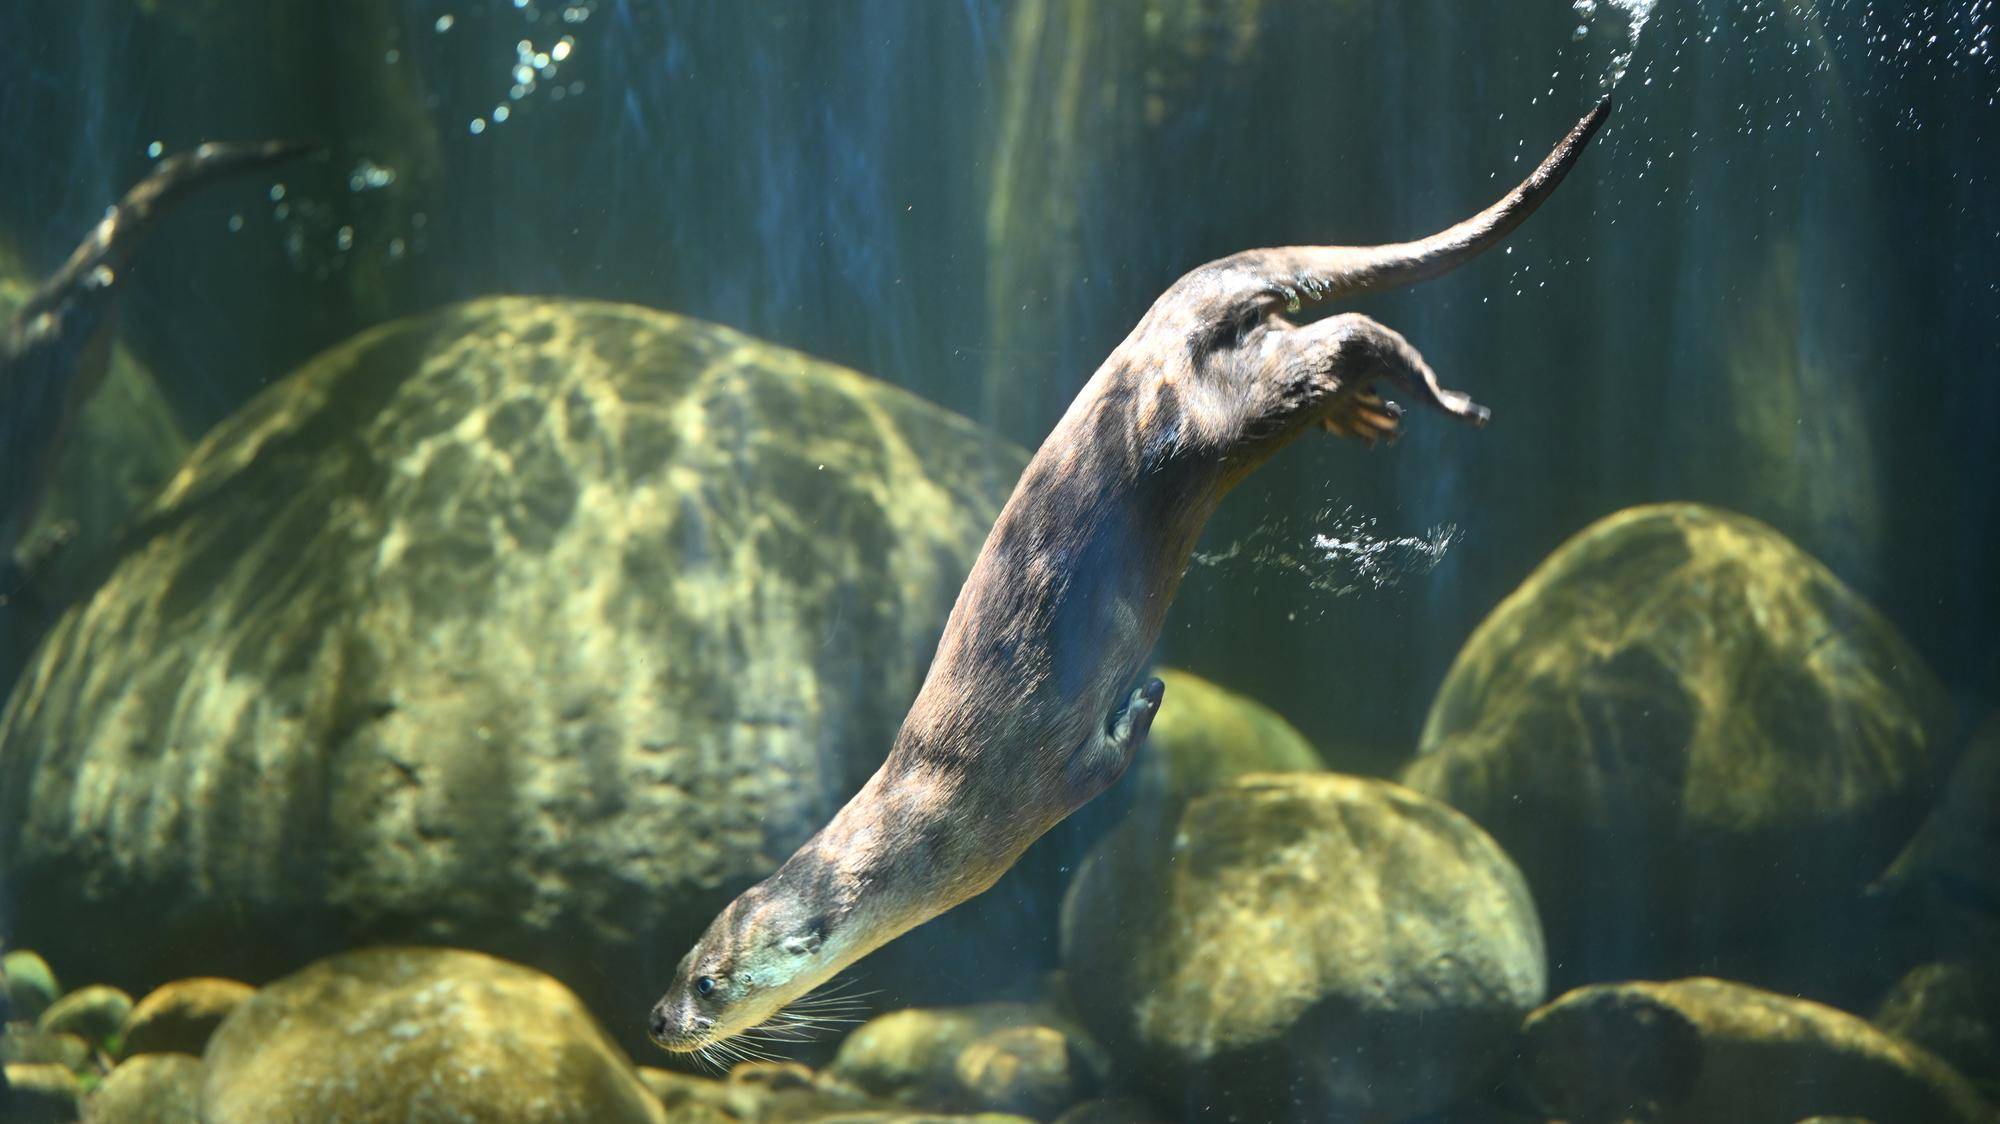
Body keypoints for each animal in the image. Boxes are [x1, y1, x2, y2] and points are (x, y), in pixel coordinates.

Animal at [651, 98, 1612, 1058]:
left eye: (710, 982)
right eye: (679, 959)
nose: (658, 1020)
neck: (927, 811)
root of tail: (1161, 323)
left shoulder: (1037, 788)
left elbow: (1108, 762)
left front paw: (1147, 700)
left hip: (1225, 414)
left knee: (1343, 340)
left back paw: (1443, 396)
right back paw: (1363, 416)